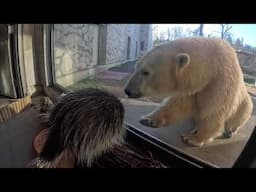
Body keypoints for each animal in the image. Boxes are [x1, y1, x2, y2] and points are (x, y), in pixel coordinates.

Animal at [124, 36, 254, 146]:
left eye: (146, 72)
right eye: (136, 67)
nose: (128, 90)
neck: (211, 67)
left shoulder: (221, 82)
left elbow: (214, 111)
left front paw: (192, 138)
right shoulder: (193, 88)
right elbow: (178, 104)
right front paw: (148, 119)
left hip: (245, 106)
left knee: (242, 113)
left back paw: (229, 131)